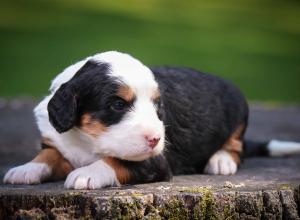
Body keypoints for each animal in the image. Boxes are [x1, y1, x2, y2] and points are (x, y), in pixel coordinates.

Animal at [2, 51, 300, 189]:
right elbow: (49, 154)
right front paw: (26, 169)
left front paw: (87, 173)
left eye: (158, 106)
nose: (155, 138)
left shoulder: (154, 160)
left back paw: (221, 160)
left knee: (237, 146)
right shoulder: (56, 140)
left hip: (239, 112)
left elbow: (115, 161)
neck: (87, 141)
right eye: (118, 104)